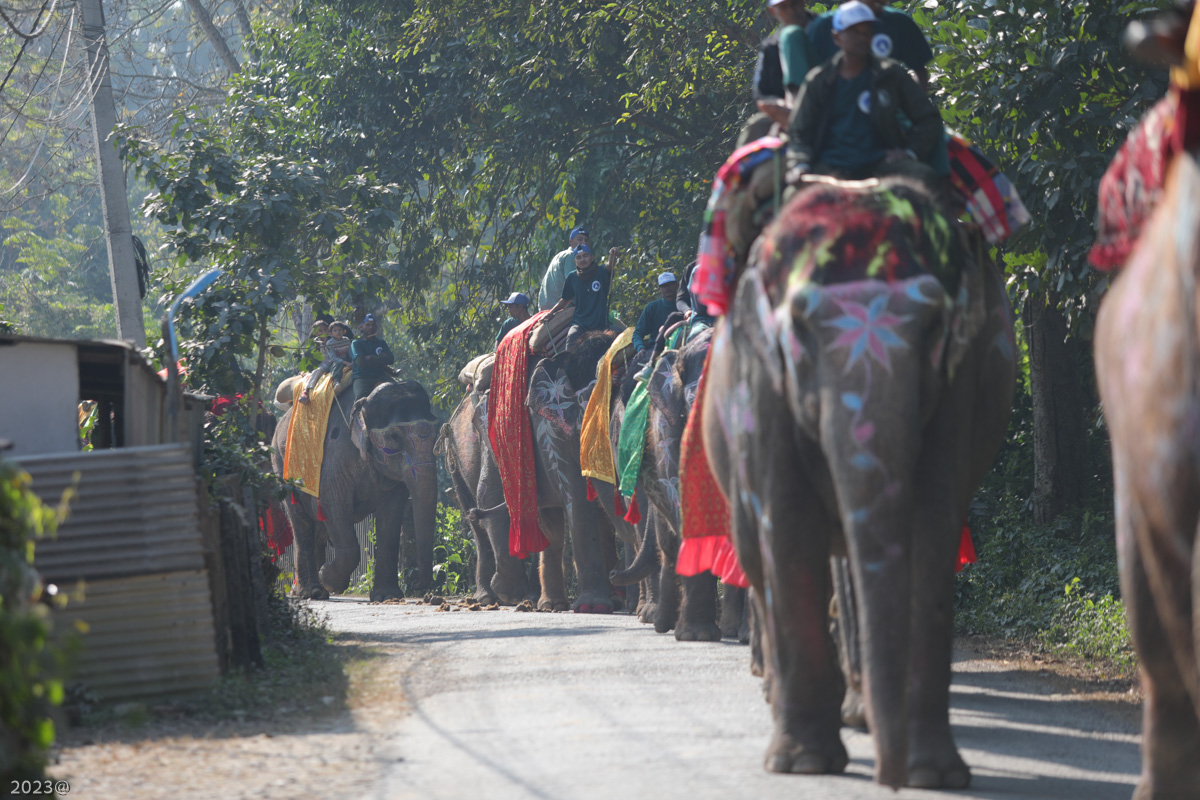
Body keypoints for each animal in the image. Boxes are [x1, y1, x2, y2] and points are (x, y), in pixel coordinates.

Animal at [272, 381, 441, 599]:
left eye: (437, 433)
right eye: (394, 437)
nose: (416, 584)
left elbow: (392, 514)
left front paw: (387, 596)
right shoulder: (334, 458)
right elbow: (334, 505)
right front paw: (330, 580)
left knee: (318, 529)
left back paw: (314, 590)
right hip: (281, 465)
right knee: (302, 524)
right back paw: (312, 592)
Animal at [700, 179, 1017, 786]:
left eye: (934, 326)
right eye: (800, 330)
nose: (886, 781)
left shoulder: (956, 386)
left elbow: (931, 524)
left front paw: (932, 775)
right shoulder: (762, 389)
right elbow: (788, 525)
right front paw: (804, 764)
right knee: (759, 550)